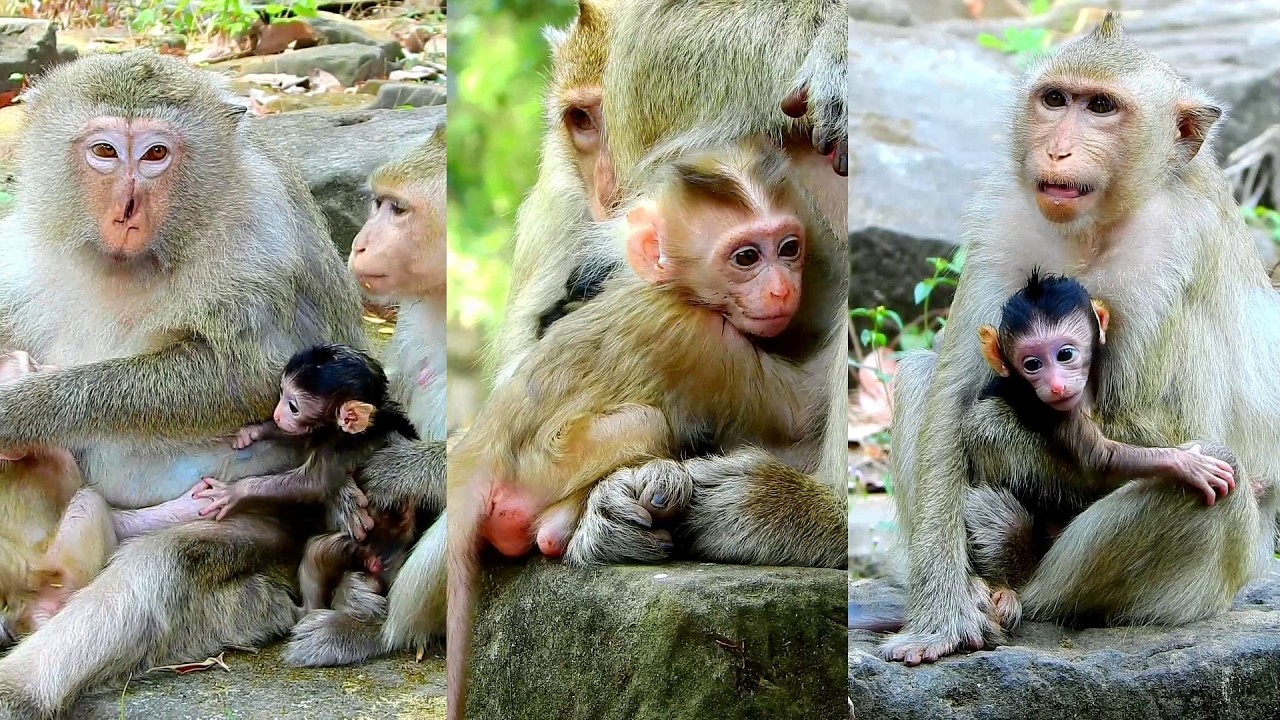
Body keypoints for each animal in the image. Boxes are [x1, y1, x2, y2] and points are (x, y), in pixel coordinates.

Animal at [0, 50, 367, 715]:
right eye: (105, 152)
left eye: (155, 156)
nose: (126, 209)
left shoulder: (262, 235)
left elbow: (259, 375)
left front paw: (26, 408)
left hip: (260, 525)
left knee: (162, 564)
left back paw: (20, 689)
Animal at [283, 125, 449, 668]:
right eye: (378, 202)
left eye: (396, 209)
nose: (356, 244)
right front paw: (339, 490)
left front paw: (397, 469)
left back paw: (374, 632)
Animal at [447, 139, 846, 719]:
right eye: (747, 258)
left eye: (789, 247)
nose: (780, 290)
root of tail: (478, 448)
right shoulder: (702, 342)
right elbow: (800, 405)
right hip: (551, 460)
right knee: (648, 421)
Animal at [883, 13, 1279, 666]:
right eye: (1055, 100)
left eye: (1101, 107)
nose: (1057, 148)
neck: (1096, 227)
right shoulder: (1003, 220)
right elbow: (950, 392)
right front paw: (940, 619)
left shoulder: (1176, 246)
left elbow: (1177, 429)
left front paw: (997, 426)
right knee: (919, 375)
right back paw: (984, 586)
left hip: (1204, 585)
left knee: (1211, 482)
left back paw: (1020, 586)